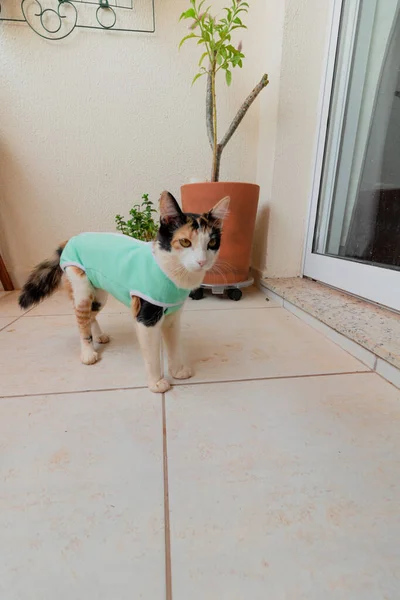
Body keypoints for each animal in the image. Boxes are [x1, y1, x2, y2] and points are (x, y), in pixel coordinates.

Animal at [19, 190, 231, 392]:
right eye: (185, 242)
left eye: (211, 243)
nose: (202, 261)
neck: (170, 270)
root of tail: (71, 239)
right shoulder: (146, 317)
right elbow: (152, 354)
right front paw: (156, 383)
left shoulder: (173, 317)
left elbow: (174, 346)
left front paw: (177, 370)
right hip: (81, 287)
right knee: (81, 318)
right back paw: (88, 352)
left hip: (99, 293)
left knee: (91, 315)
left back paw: (99, 336)